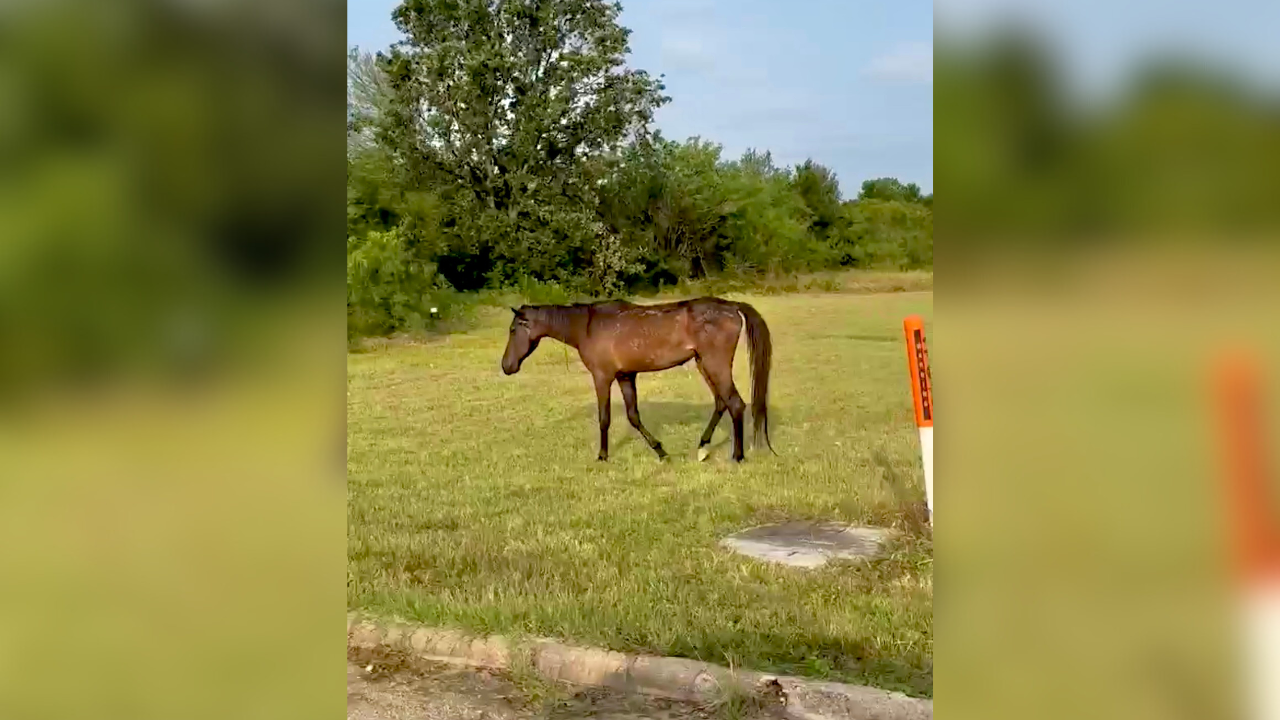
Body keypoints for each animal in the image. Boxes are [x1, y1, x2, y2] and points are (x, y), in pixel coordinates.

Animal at [500, 297, 774, 463]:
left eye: (513, 330)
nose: (506, 366)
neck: (587, 326)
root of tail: (732, 307)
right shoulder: (625, 376)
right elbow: (634, 417)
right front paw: (661, 452)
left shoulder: (602, 377)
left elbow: (604, 418)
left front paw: (602, 456)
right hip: (703, 364)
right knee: (721, 403)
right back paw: (702, 447)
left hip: (714, 364)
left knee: (735, 404)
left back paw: (737, 456)